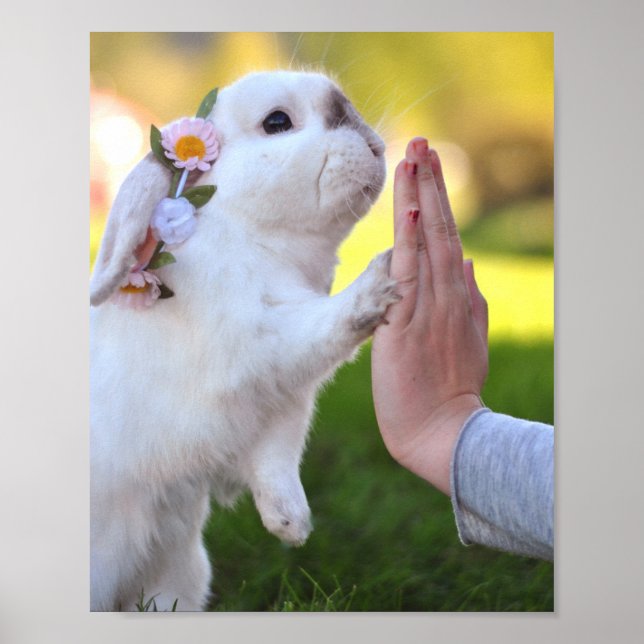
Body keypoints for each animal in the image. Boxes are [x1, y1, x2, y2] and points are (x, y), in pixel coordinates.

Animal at [90, 70, 399, 611]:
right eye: (277, 122)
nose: (374, 144)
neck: (250, 233)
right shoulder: (259, 342)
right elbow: (319, 327)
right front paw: (379, 280)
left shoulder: (285, 404)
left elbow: (277, 460)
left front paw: (291, 525)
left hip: (181, 570)